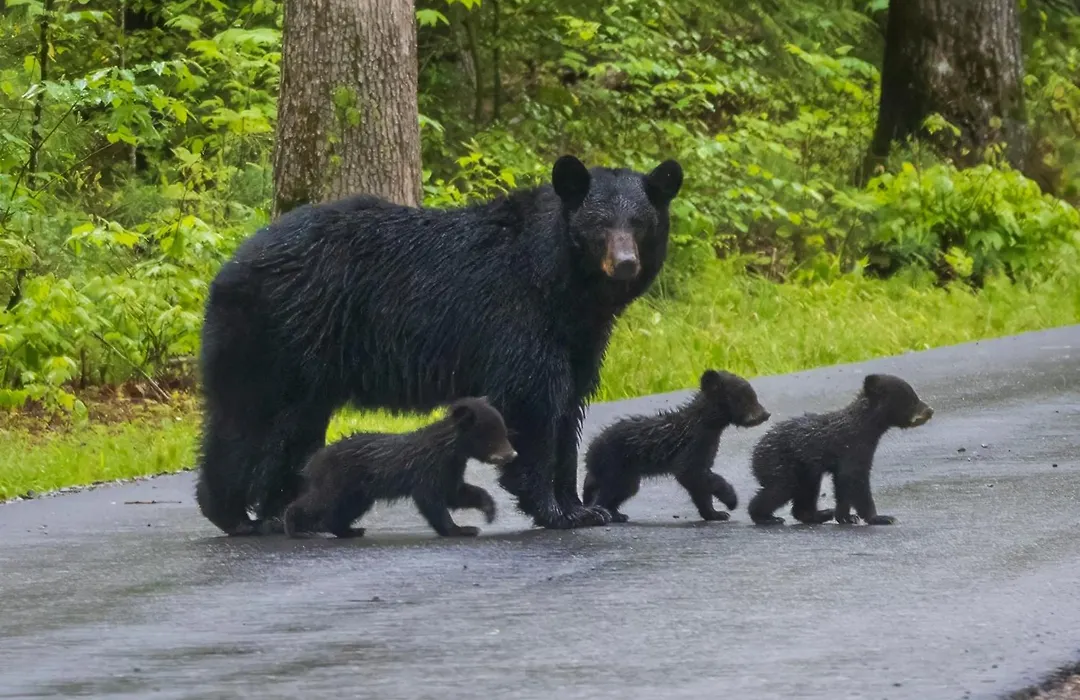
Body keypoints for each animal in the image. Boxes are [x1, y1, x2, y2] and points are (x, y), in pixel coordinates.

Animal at [283, 397, 517, 538]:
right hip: (338, 480)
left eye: (504, 432)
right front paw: (460, 529)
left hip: (359, 491)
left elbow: (456, 493)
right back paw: (294, 526)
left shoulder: (451, 468)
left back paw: (350, 530)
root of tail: (313, 461)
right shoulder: (428, 467)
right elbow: (431, 500)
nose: (511, 455)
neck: (448, 448)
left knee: (343, 510)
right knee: (318, 501)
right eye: (492, 437)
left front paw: (489, 511)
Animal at [582, 369, 771, 523]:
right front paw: (731, 500)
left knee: (624, 490)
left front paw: (714, 513)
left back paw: (616, 513)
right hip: (614, 464)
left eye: (753, 396)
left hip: (626, 473)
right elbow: (690, 473)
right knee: (609, 490)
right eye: (745, 397)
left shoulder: (706, 448)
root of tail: (589, 453)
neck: (707, 424)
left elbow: (699, 484)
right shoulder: (693, 445)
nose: (766, 414)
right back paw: (605, 512)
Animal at [747, 373, 934, 526]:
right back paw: (765, 517)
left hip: (805, 470)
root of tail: (755, 453)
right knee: (781, 488)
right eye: (912, 398)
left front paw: (846, 516)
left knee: (806, 491)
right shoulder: (853, 447)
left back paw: (820, 514)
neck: (865, 426)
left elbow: (842, 483)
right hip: (779, 463)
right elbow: (855, 478)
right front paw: (880, 517)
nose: (930, 410)